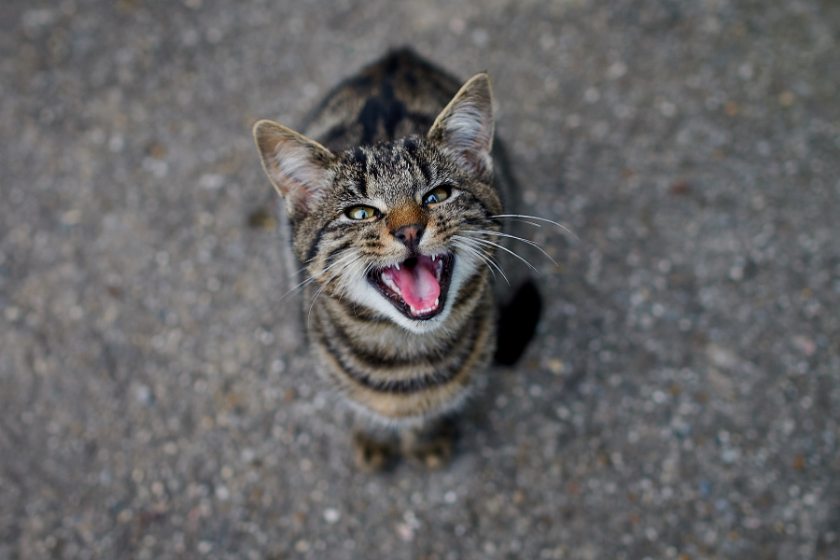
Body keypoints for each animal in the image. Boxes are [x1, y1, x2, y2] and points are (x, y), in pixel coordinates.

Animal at [251, 48, 540, 470]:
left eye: (438, 195)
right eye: (360, 213)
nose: (409, 231)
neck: (408, 356)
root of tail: (398, 56)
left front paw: (424, 438)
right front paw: (374, 434)